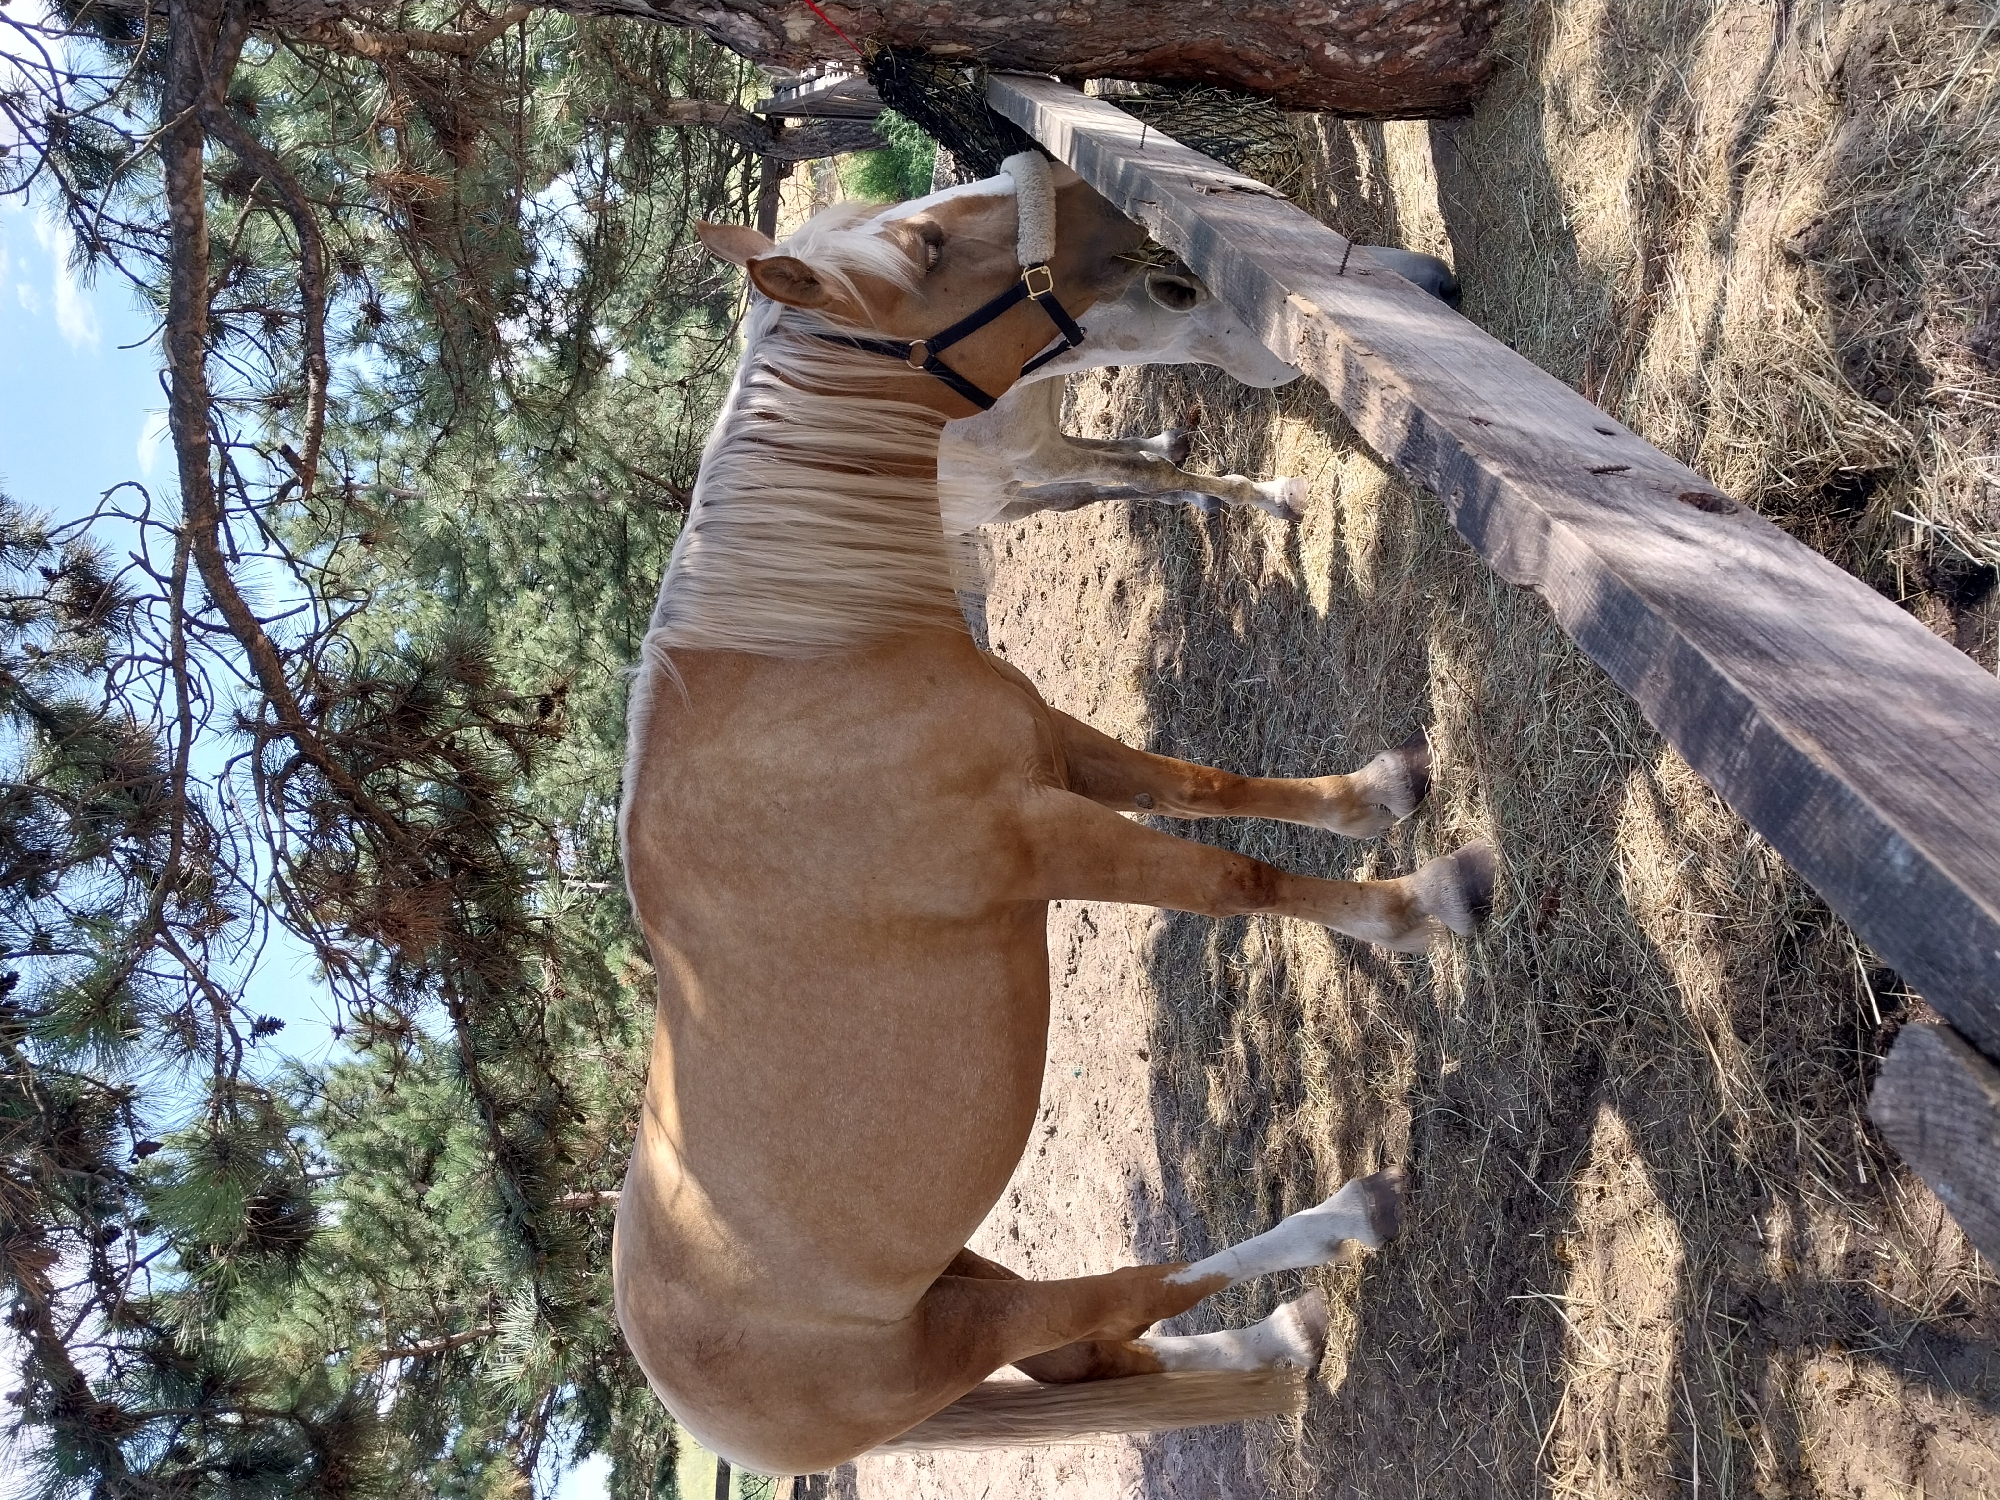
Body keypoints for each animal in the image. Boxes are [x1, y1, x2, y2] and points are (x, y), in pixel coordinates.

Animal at [614, 153, 1495, 1474]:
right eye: (928, 248)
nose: (1052, 175)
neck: (806, 662)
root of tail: (698, 1409)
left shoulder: (1056, 751)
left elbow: (1202, 787)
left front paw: (1374, 795)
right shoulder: (1042, 842)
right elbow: (1234, 882)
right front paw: (1419, 904)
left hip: (954, 1282)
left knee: (1096, 1354)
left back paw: (1273, 1341)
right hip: (958, 1328)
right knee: (1118, 1296)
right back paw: (1337, 1223)